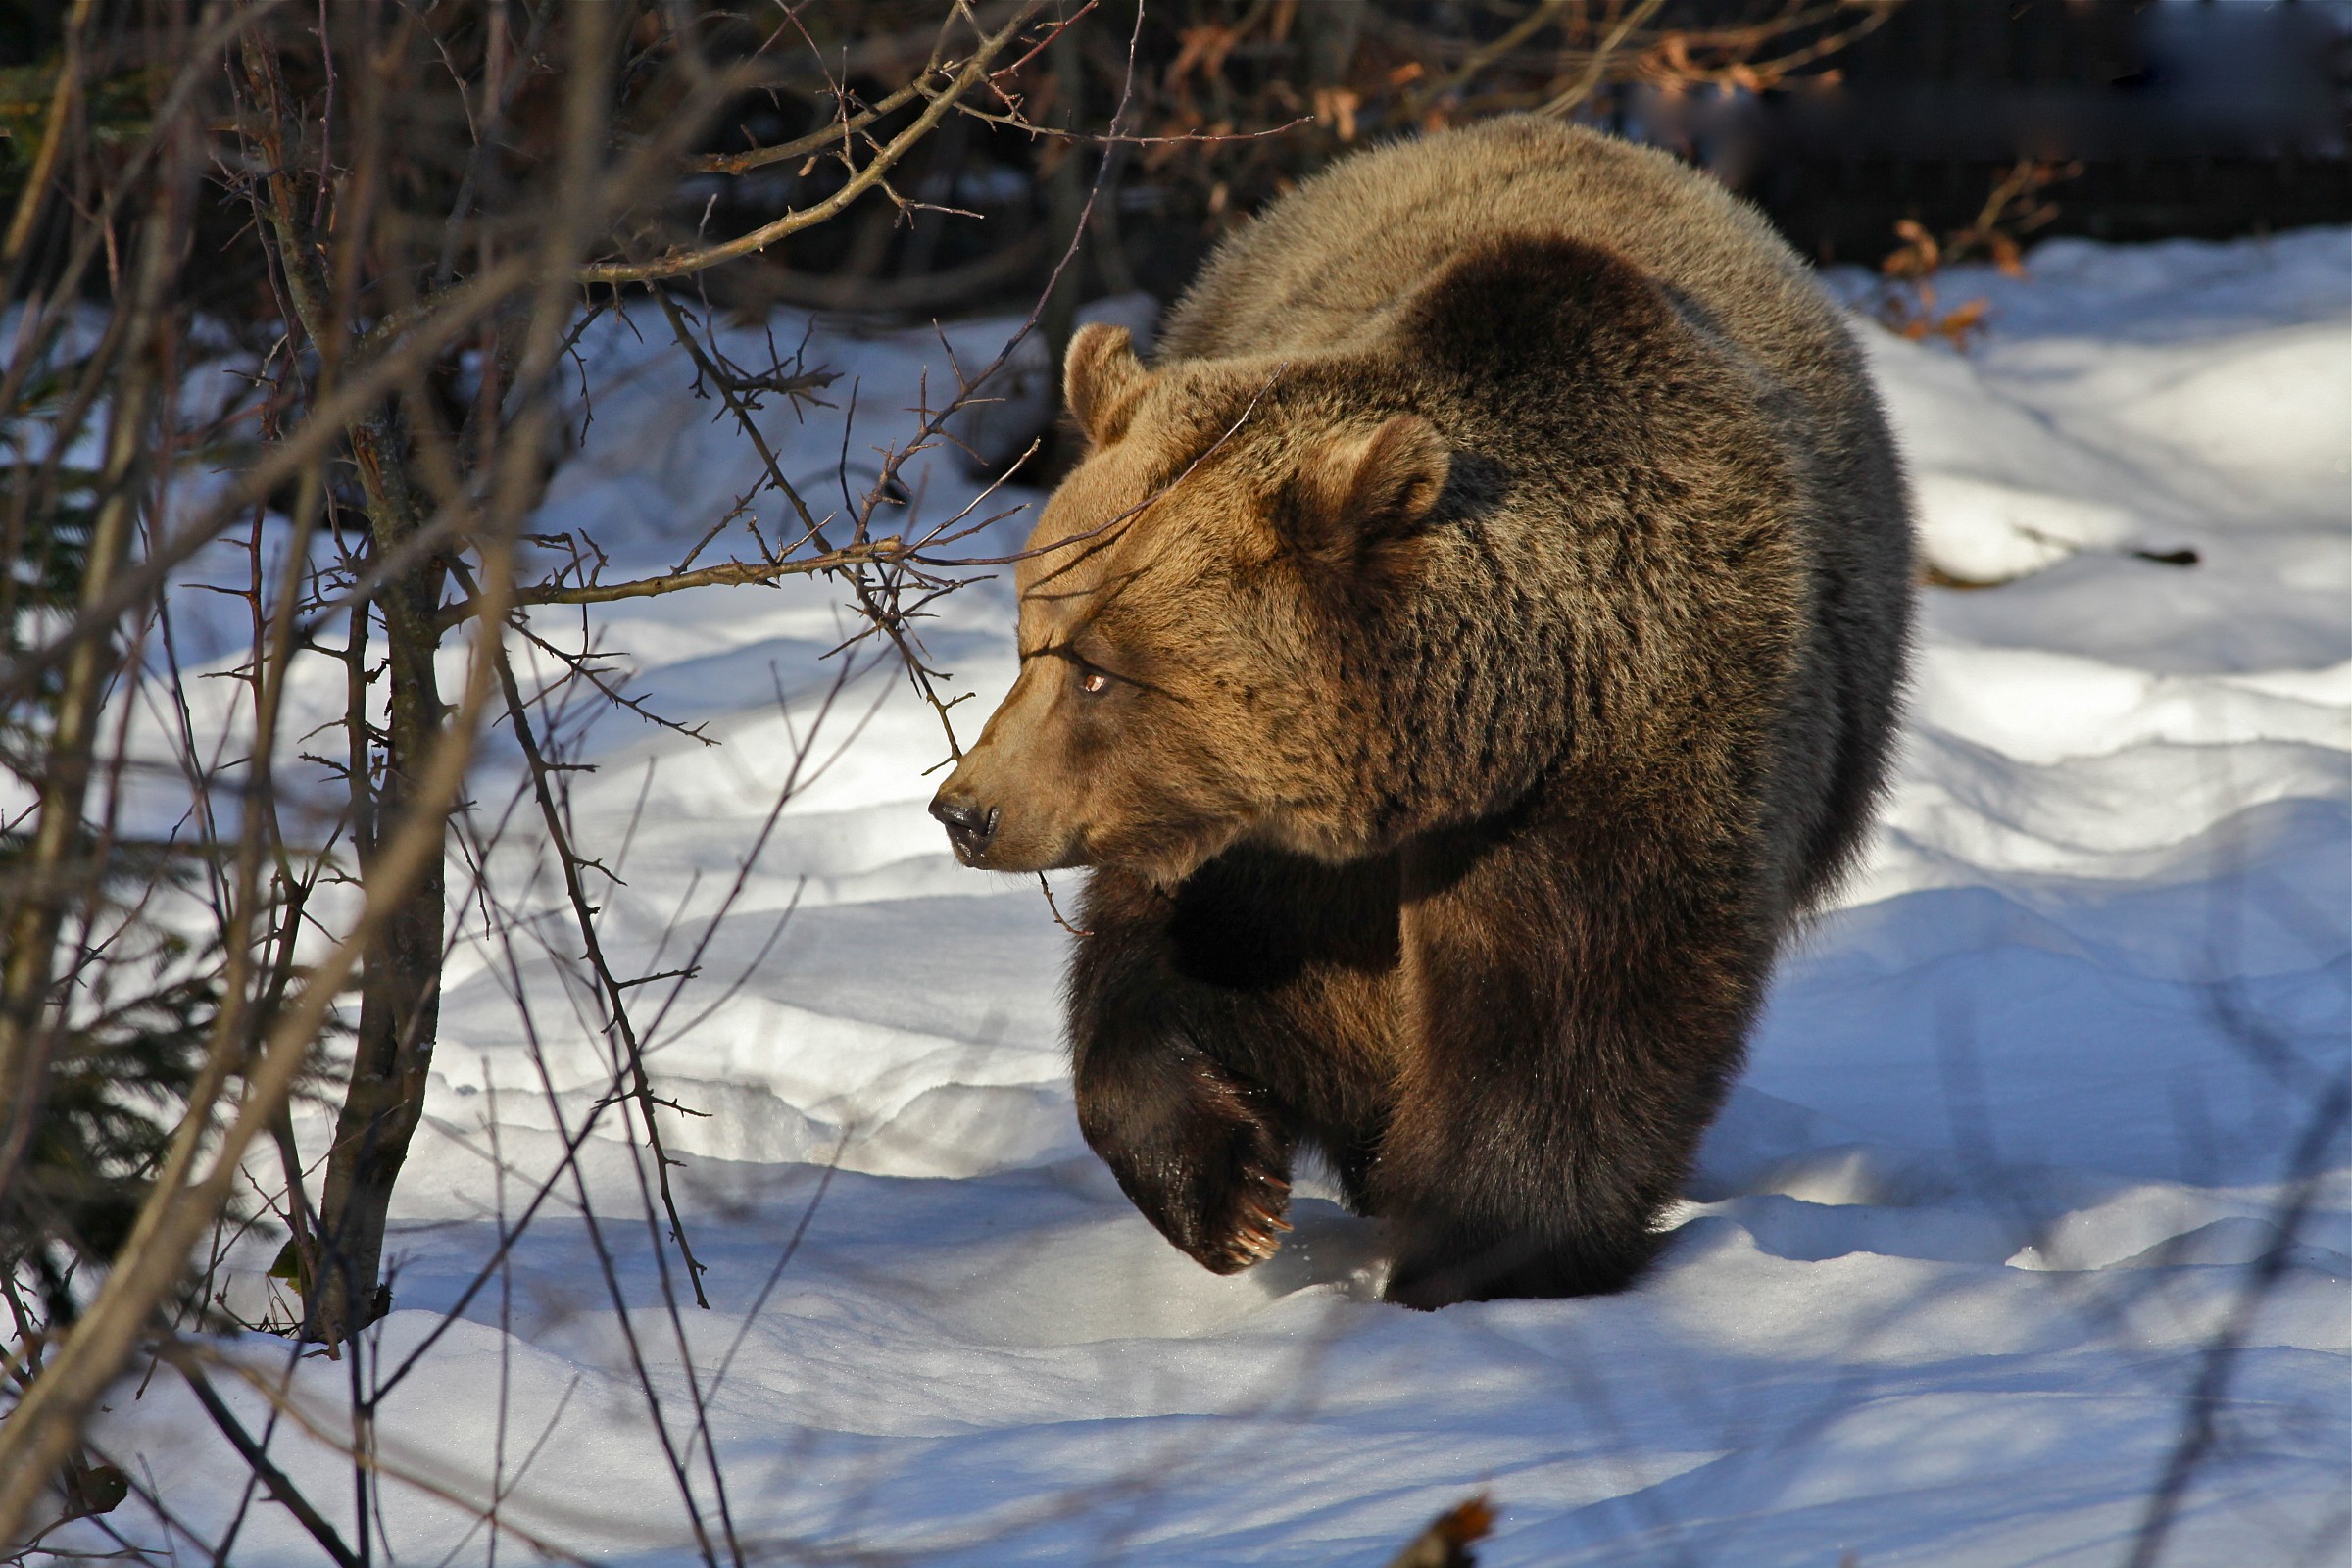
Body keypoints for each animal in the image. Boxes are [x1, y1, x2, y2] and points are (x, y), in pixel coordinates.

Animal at [928, 115, 1913, 1309]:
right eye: (1032, 637)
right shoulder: (1271, 846)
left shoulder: (1615, 775)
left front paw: (1476, 1253)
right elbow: (1179, 970)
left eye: (1098, 670)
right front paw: (1236, 1197)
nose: (965, 808)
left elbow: (1563, 1027)